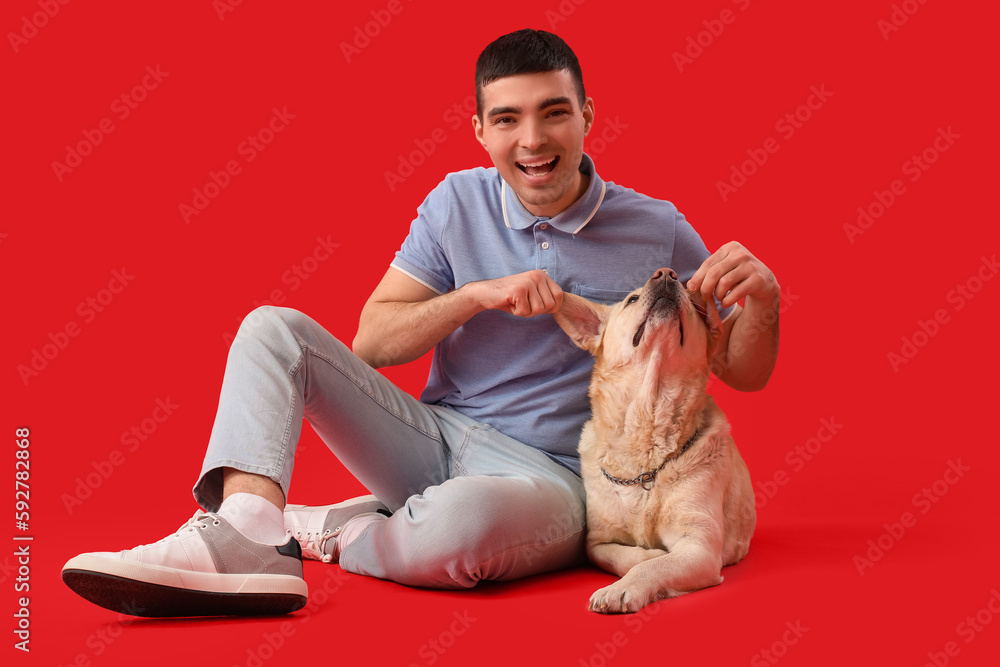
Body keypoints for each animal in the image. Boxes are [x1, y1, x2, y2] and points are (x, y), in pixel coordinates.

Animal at [552, 268, 752, 612]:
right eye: (631, 300)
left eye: (693, 304)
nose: (667, 274)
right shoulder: (598, 543)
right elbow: (628, 557)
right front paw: (646, 555)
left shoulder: (699, 545)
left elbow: (654, 566)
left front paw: (622, 589)